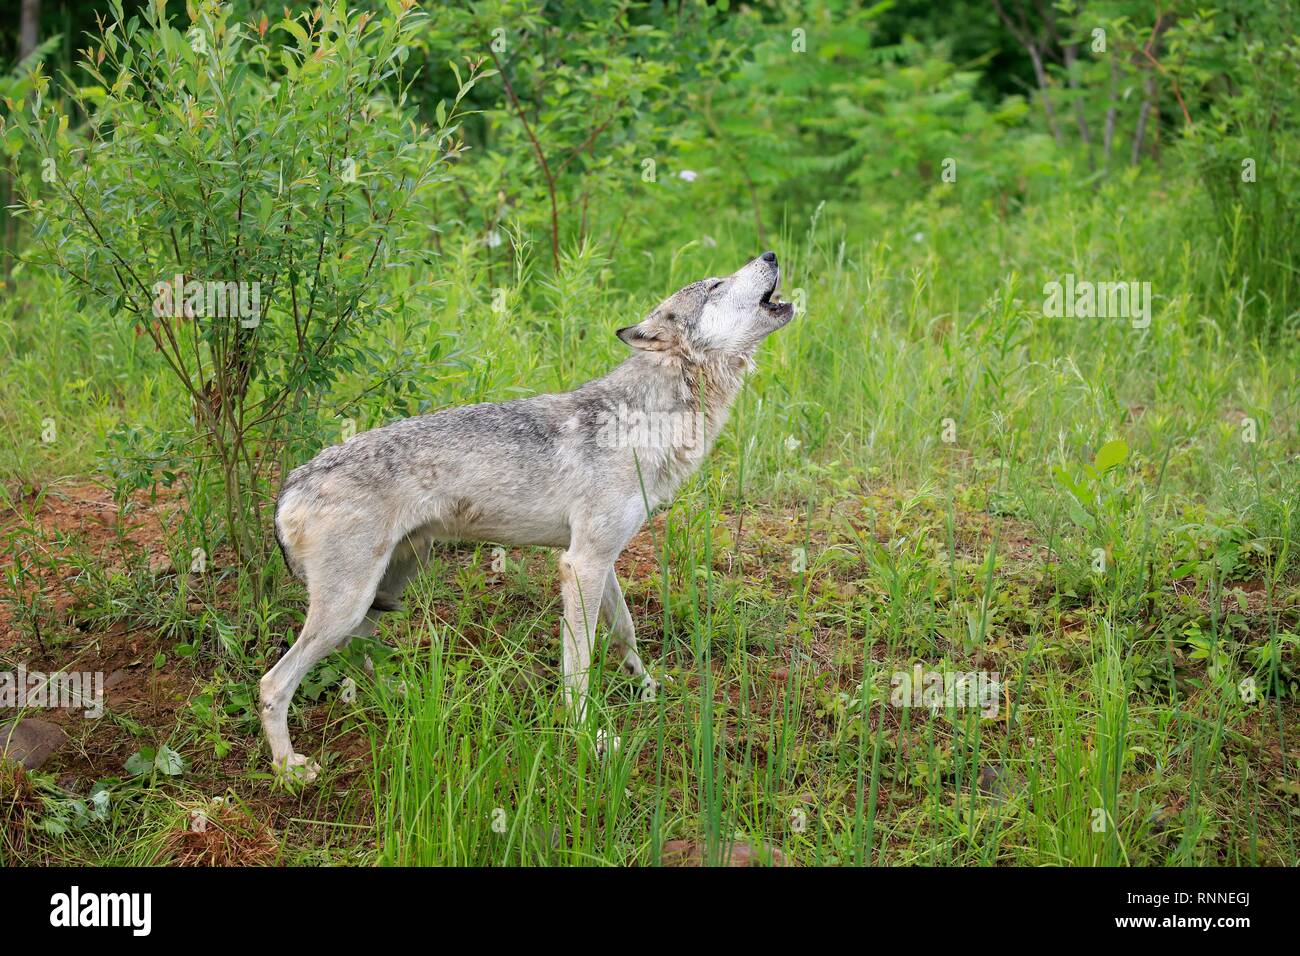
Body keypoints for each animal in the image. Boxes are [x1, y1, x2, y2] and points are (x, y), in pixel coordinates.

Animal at [261, 252, 795, 780]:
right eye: (715, 285)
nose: (771, 254)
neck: (643, 418)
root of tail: (292, 482)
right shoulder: (580, 565)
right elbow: (578, 667)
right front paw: (589, 736)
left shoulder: (599, 561)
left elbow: (625, 630)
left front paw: (646, 687)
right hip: (349, 604)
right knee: (273, 684)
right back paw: (289, 768)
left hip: (392, 581)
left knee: (359, 651)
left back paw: (391, 696)